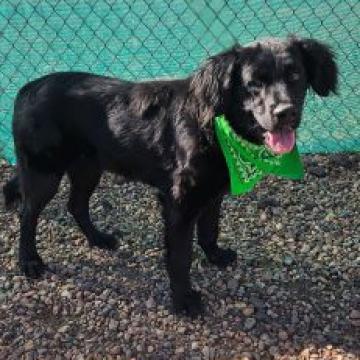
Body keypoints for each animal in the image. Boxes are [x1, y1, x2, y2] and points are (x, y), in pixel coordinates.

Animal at [2, 36, 338, 316]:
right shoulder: (179, 202)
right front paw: (183, 300)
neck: (213, 125)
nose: (285, 112)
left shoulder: (212, 193)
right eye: (254, 83)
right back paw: (29, 261)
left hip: (88, 167)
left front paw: (215, 256)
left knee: (76, 205)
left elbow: (210, 231)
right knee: (27, 213)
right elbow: (179, 257)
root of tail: (25, 89)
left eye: (295, 75)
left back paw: (98, 239)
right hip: (43, 171)